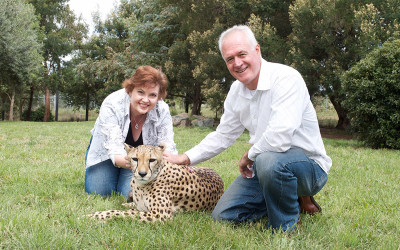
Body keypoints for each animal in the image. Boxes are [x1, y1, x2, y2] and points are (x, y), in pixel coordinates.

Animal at [87, 144, 223, 222]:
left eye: (152, 160)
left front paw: (94, 215)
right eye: (135, 159)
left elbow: (124, 213)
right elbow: (131, 209)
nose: (142, 173)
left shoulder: (161, 215)